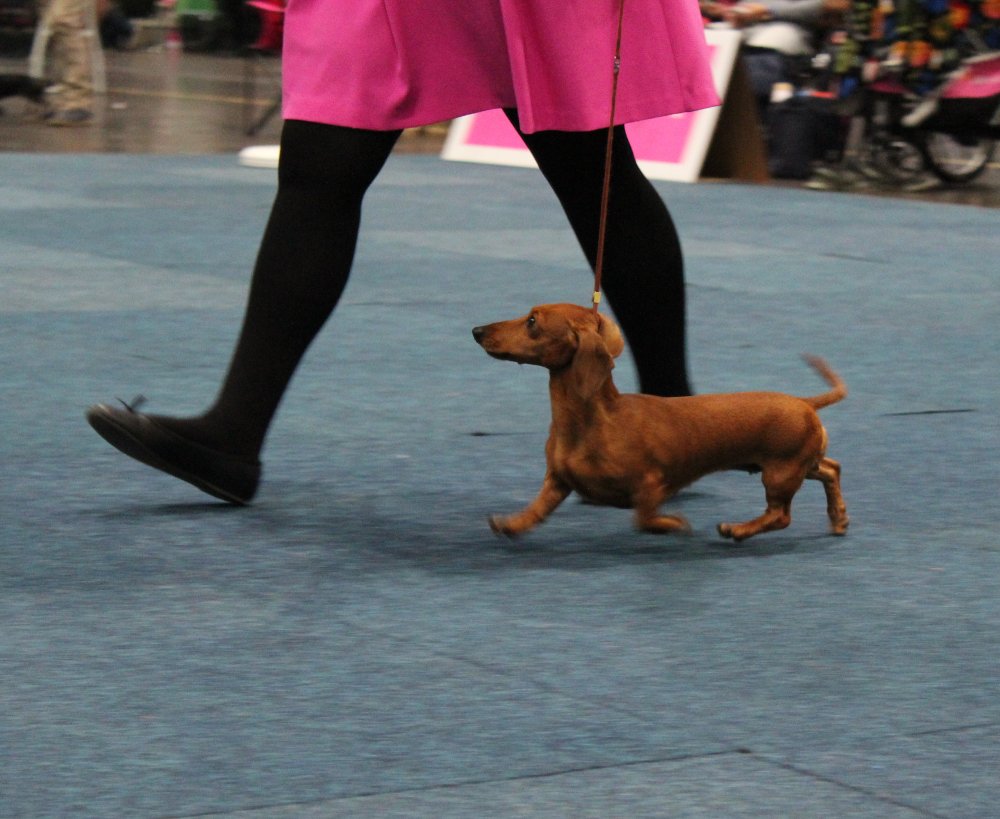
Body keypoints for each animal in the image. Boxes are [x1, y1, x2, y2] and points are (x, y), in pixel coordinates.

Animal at [472, 304, 848, 540]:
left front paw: (673, 523)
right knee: (831, 469)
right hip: (798, 464)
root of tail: (804, 402)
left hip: (780, 473)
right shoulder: (558, 480)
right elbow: (537, 508)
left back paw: (738, 530)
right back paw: (839, 518)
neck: (592, 418)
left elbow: (644, 517)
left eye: (532, 321)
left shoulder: (652, 483)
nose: (476, 330)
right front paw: (510, 524)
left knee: (781, 515)